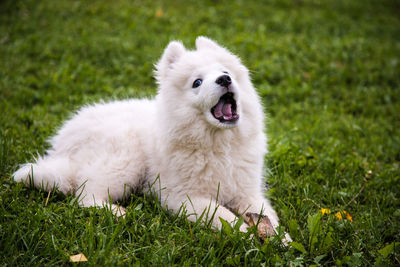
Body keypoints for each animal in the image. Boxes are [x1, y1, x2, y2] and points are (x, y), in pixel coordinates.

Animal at [12, 36, 288, 241]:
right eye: (197, 82)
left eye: (225, 71)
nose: (224, 79)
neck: (219, 145)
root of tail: (61, 145)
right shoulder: (183, 197)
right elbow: (224, 216)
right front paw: (247, 234)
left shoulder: (246, 191)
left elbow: (266, 213)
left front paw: (280, 238)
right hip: (126, 158)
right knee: (84, 196)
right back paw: (118, 213)